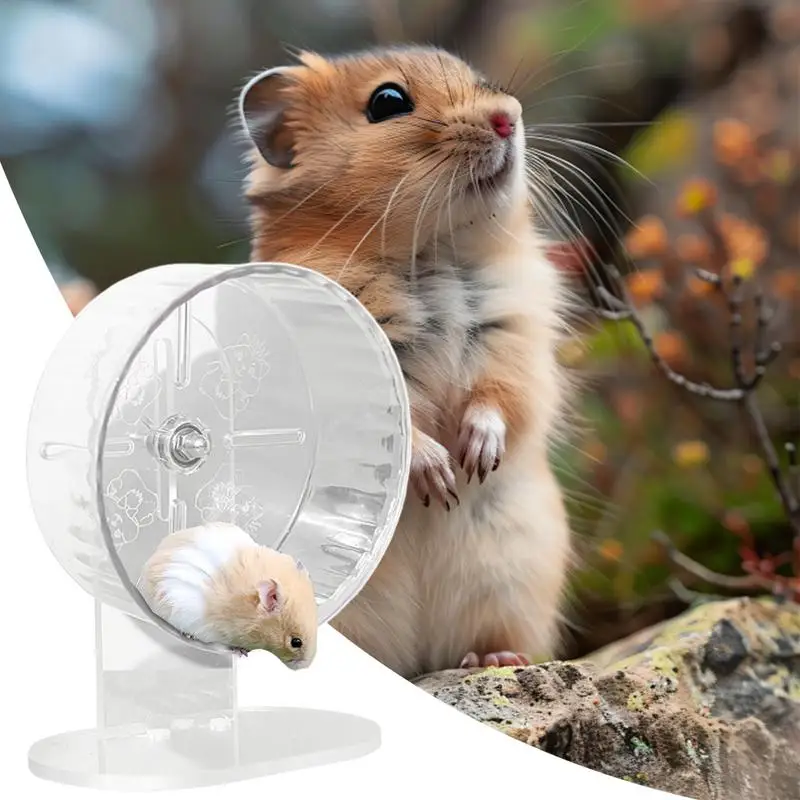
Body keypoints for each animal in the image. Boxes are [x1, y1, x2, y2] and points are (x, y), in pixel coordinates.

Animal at [238, 46, 573, 678]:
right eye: (387, 102)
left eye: (478, 78)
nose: (507, 118)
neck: (432, 250)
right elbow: (398, 430)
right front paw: (439, 478)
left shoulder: (516, 344)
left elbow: (501, 402)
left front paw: (474, 459)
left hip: (512, 576)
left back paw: (494, 658)